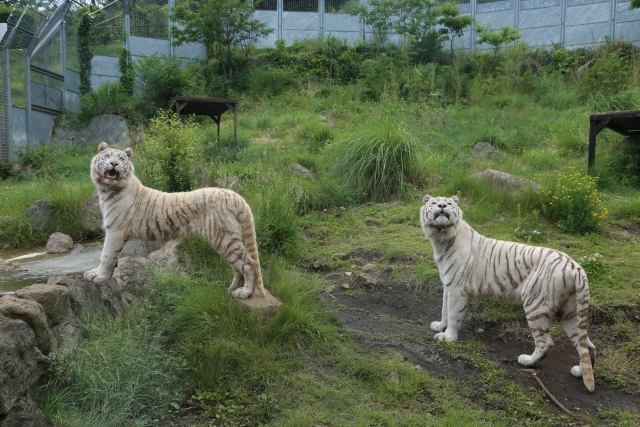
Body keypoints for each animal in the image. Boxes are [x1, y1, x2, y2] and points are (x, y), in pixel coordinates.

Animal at [84, 142, 264, 300]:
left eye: (121, 159)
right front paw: (93, 273)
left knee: (249, 263)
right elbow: (109, 257)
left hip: (224, 237)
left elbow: (106, 255)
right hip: (224, 239)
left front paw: (100, 277)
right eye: (107, 156)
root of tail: (233, 195)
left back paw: (245, 292)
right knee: (237, 267)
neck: (107, 190)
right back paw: (232, 289)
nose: (113, 163)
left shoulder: (115, 230)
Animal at [420, 194, 596, 392]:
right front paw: (440, 325)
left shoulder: (457, 289)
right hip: (569, 313)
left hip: (535, 305)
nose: (442, 206)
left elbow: (453, 315)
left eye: (449, 203)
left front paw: (448, 337)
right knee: (587, 346)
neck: (442, 237)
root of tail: (576, 267)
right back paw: (579, 372)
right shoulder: (448, 286)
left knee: (546, 343)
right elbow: (445, 310)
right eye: (434, 203)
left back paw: (527, 361)